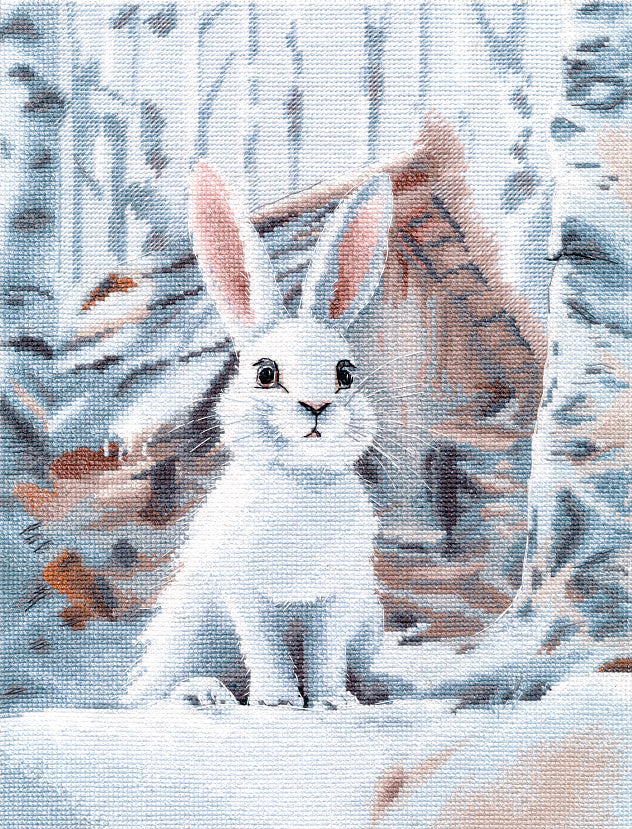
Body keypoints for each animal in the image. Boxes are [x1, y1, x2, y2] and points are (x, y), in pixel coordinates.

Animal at [122, 164, 393, 710]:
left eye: (346, 373)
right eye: (266, 374)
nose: (316, 406)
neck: (300, 481)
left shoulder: (336, 599)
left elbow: (325, 654)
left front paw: (331, 701)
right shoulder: (247, 595)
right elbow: (267, 649)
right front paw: (279, 702)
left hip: (367, 622)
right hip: (190, 630)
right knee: (152, 695)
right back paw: (205, 694)